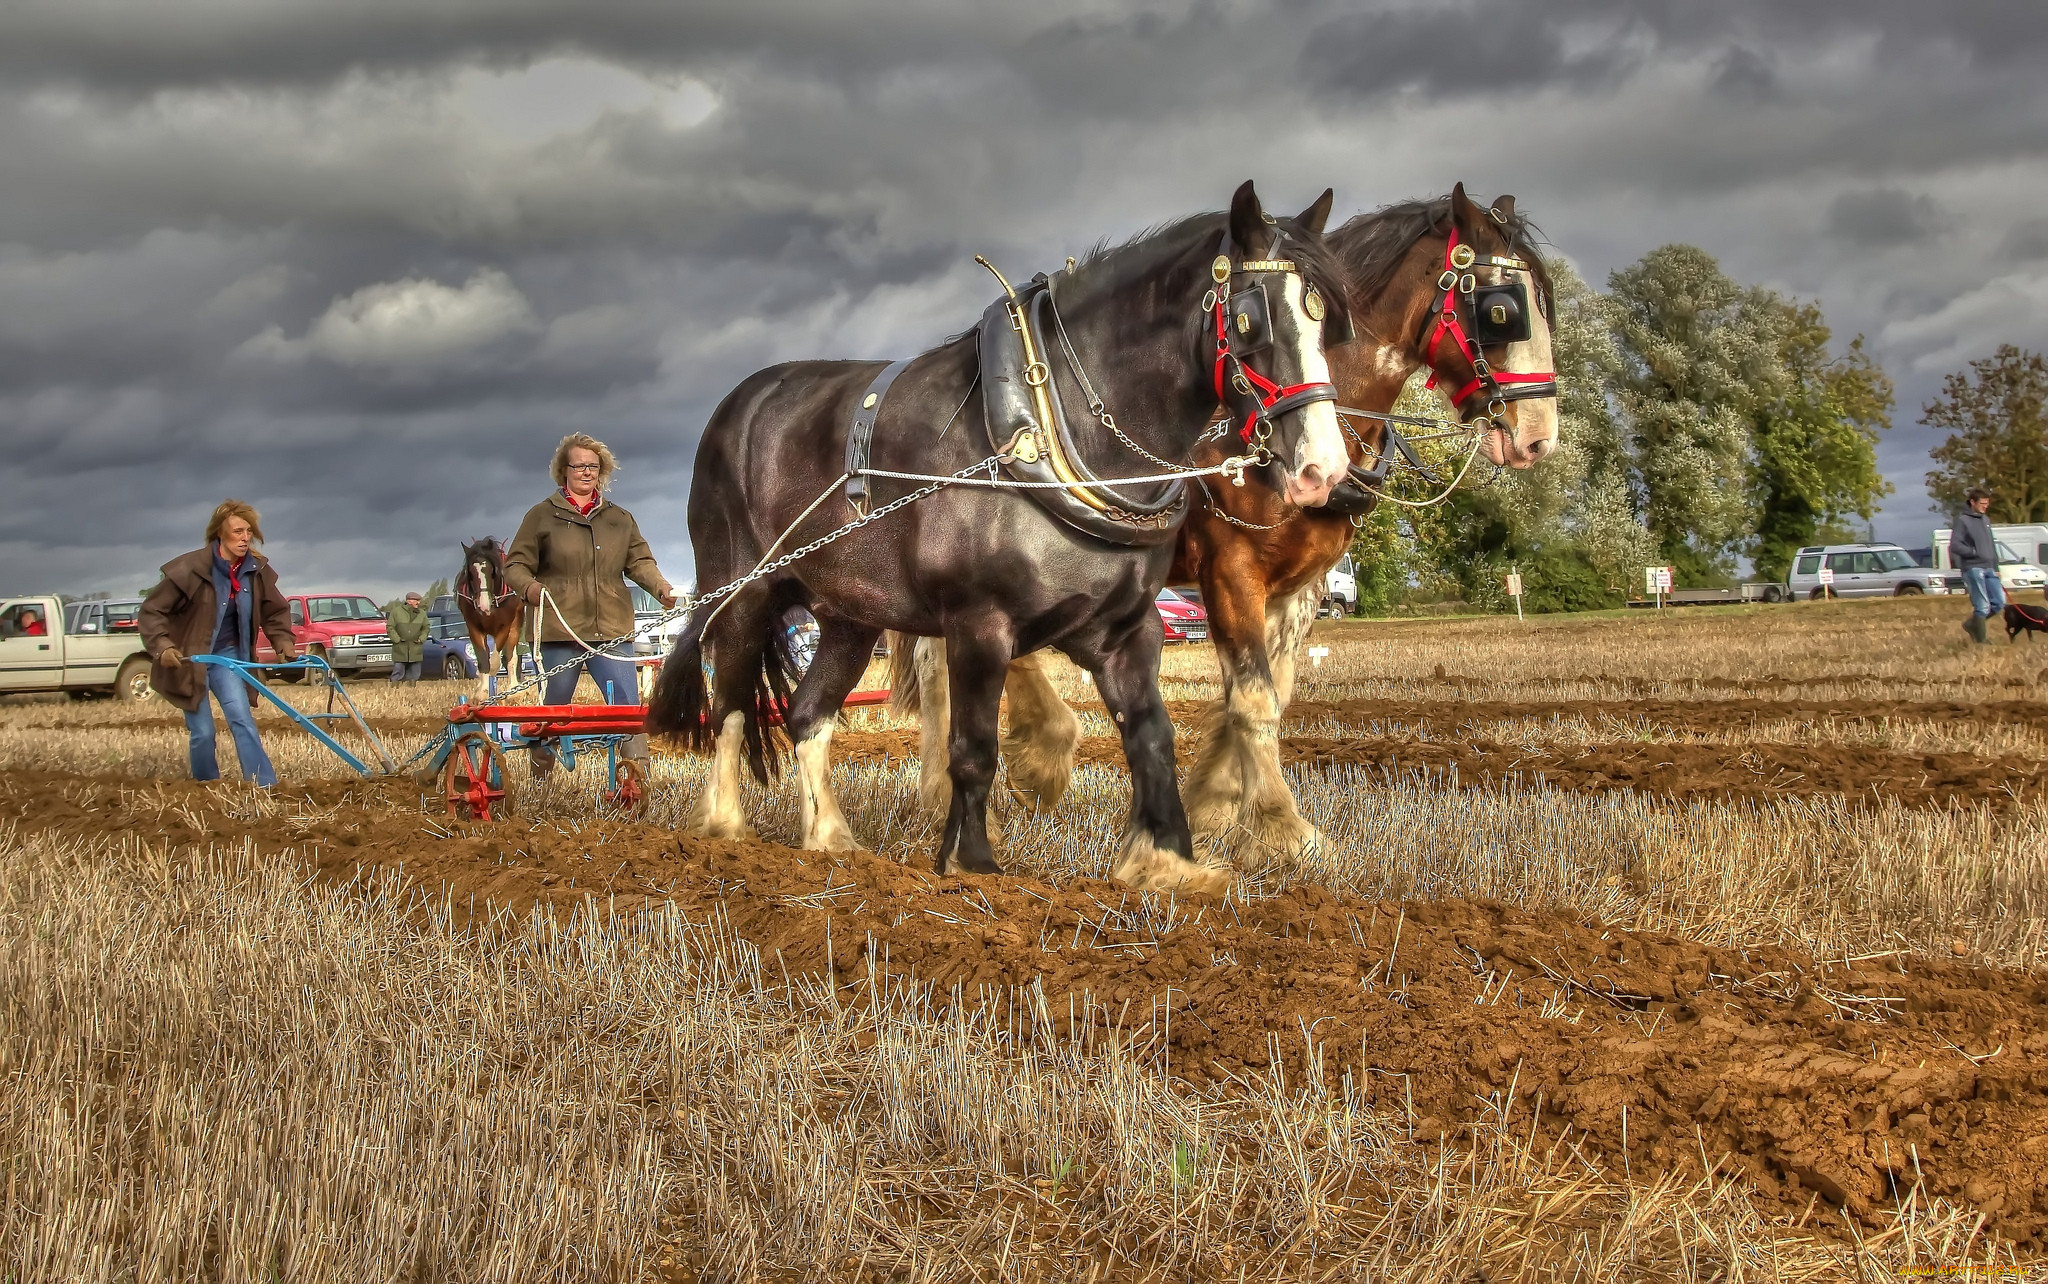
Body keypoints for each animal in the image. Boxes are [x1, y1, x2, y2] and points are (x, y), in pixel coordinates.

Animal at [456, 540, 524, 704]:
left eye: (492, 570)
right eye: (470, 573)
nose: (483, 606)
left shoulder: (505, 627)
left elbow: (496, 663)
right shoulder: (474, 627)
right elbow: (483, 660)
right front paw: (481, 693)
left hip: (516, 625)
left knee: (510, 658)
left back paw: (514, 689)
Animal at [651, 178, 1359, 892]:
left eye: (1329, 321)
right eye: (1248, 319)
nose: (1323, 468)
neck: (1053, 426)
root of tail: (740, 402)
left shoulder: (1126, 630)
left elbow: (1151, 737)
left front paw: (1168, 862)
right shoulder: (978, 624)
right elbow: (974, 750)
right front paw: (971, 866)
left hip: (850, 615)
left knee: (806, 715)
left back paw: (829, 841)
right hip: (740, 594)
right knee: (730, 708)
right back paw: (725, 831)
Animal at [892, 186, 1548, 872]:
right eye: (1501, 310)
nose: (1539, 433)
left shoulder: (1299, 587)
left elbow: (1270, 692)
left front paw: (1217, 802)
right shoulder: (1231, 570)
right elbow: (1253, 698)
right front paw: (1284, 827)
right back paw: (996, 778)